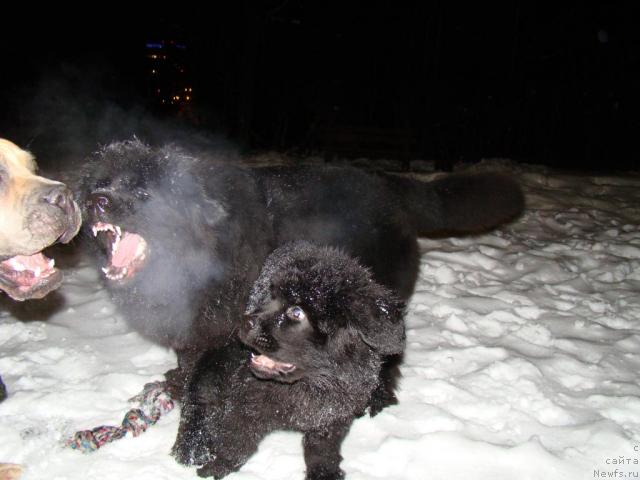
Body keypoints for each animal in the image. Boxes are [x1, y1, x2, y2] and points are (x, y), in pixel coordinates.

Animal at [77, 137, 524, 396]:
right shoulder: (197, 322)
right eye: (102, 183)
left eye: (144, 193)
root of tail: (389, 184)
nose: (96, 200)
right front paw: (176, 383)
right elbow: (187, 355)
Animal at [174, 242, 404, 478]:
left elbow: (322, 448)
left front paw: (324, 472)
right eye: (270, 296)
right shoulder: (243, 397)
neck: (313, 383)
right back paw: (192, 447)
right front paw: (219, 464)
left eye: (296, 312)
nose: (245, 321)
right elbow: (235, 435)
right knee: (198, 395)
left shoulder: (333, 417)